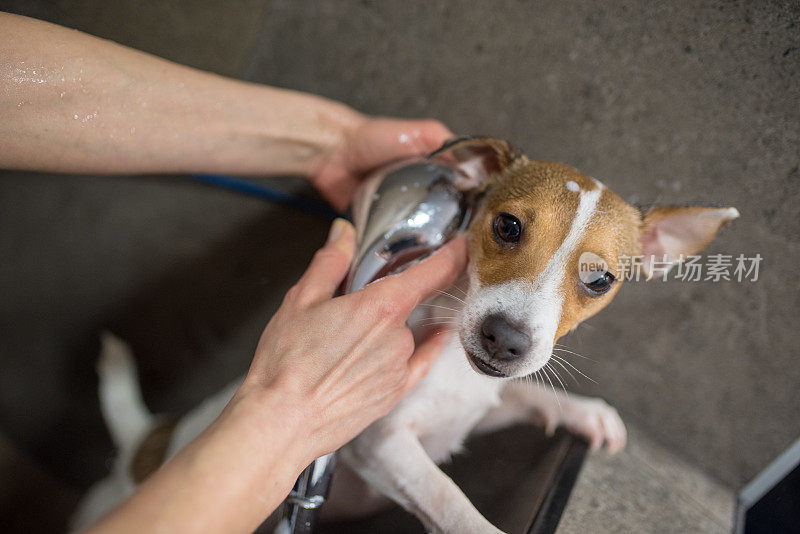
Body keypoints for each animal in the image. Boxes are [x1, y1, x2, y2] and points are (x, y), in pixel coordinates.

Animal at [73, 138, 736, 534]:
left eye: (600, 280)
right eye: (507, 226)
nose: (506, 339)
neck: (452, 371)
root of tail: (145, 445)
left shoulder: (472, 411)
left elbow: (526, 393)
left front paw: (586, 413)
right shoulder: (380, 443)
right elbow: (447, 498)